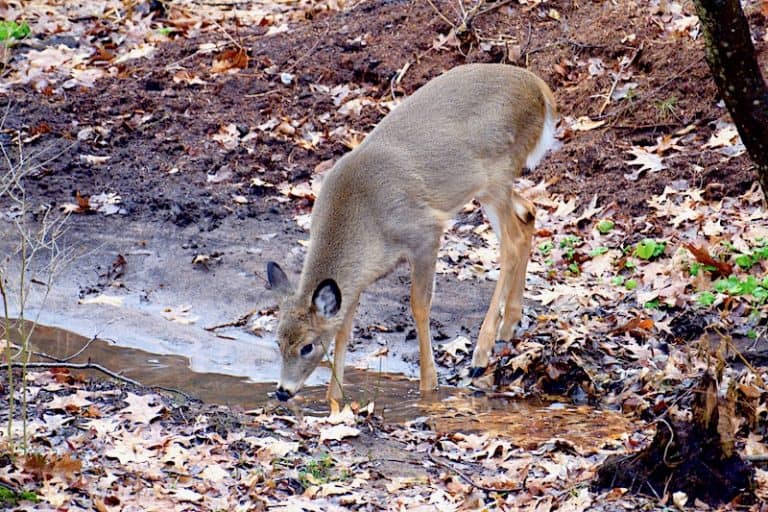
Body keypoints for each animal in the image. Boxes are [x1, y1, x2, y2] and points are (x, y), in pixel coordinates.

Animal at [266, 63, 557, 402]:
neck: (366, 219)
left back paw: (480, 355)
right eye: (278, 341)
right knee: (528, 213)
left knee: (512, 242)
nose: (283, 391)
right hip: (495, 184)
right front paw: (334, 399)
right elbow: (344, 327)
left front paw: (428, 385)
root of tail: (539, 89)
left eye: (307, 346)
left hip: (496, 174)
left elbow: (419, 305)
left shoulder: (424, 232)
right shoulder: (360, 275)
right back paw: (508, 326)